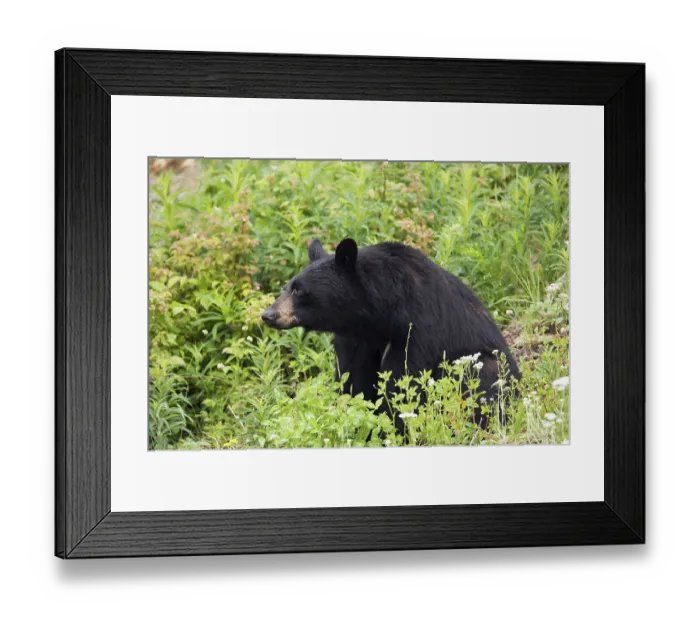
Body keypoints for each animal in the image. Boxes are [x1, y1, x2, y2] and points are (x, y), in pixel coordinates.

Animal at [261, 238, 521, 435]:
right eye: (287, 287)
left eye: (298, 290)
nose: (268, 315)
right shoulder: (355, 340)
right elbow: (352, 380)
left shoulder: (416, 329)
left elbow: (402, 384)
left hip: (484, 367)